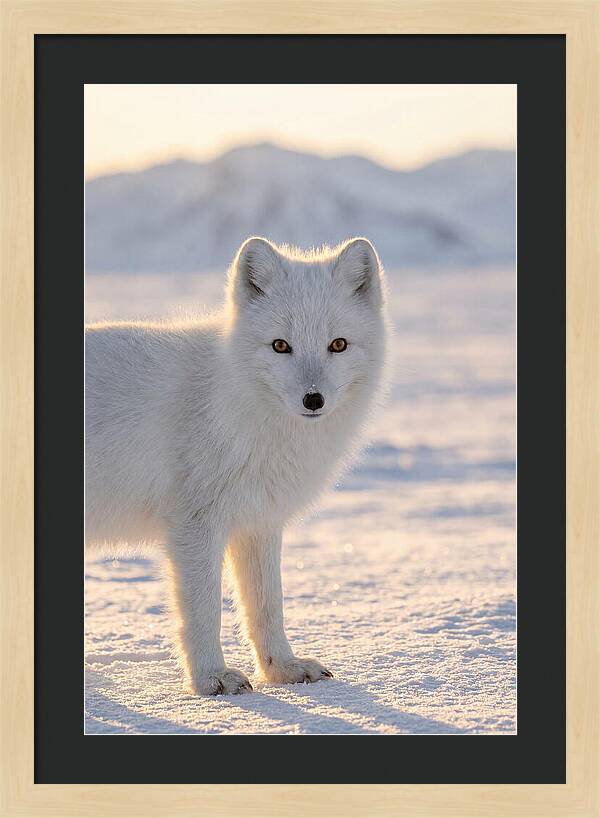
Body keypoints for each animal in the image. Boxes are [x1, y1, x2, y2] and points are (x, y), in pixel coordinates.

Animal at [85, 236, 388, 695]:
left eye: (338, 344)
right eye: (281, 345)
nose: (313, 399)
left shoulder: (258, 521)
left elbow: (267, 605)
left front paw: (283, 669)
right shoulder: (195, 524)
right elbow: (204, 609)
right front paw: (211, 678)